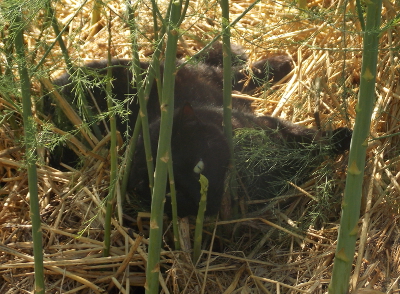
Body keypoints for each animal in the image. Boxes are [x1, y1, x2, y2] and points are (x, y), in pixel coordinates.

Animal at [128, 104, 350, 217]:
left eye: (198, 166)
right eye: (169, 193)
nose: (205, 200)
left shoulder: (270, 124)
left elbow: (310, 137)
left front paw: (343, 137)